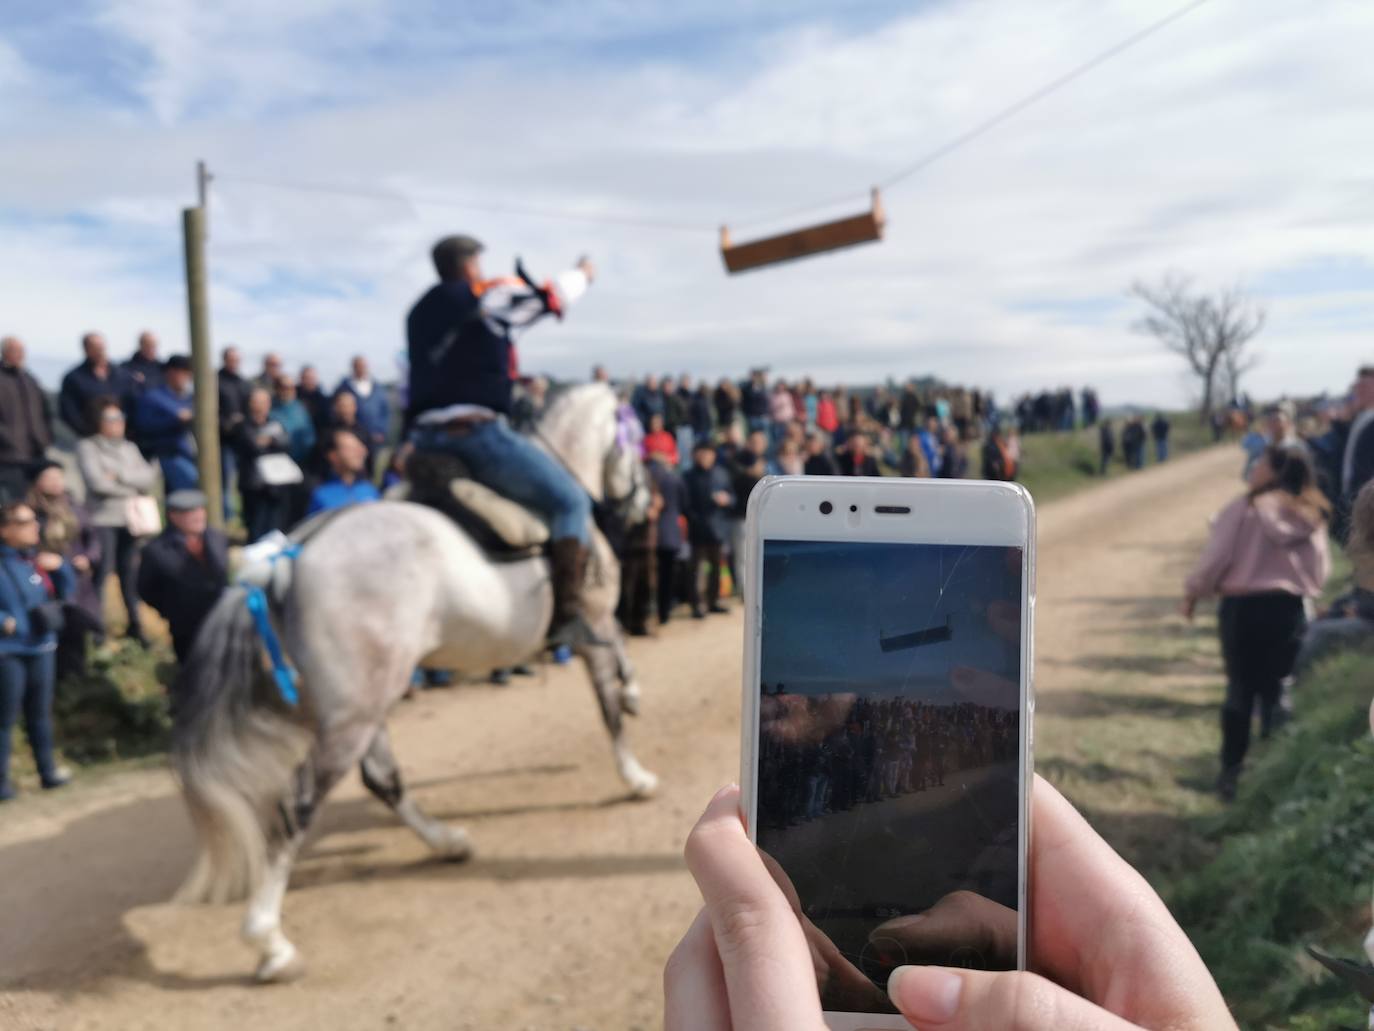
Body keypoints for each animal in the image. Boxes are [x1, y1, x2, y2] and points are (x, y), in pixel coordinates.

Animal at [170, 384, 654, 978]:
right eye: (636, 437)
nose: (643, 503)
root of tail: (287, 559)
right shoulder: (596, 621)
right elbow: (609, 700)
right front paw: (635, 773)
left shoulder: (599, 628)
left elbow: (620, 673)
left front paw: (633, 697)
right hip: (354, 714)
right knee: (299, 805)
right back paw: (270, 942)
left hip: (362, 701)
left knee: (383, 780)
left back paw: (447, 842)